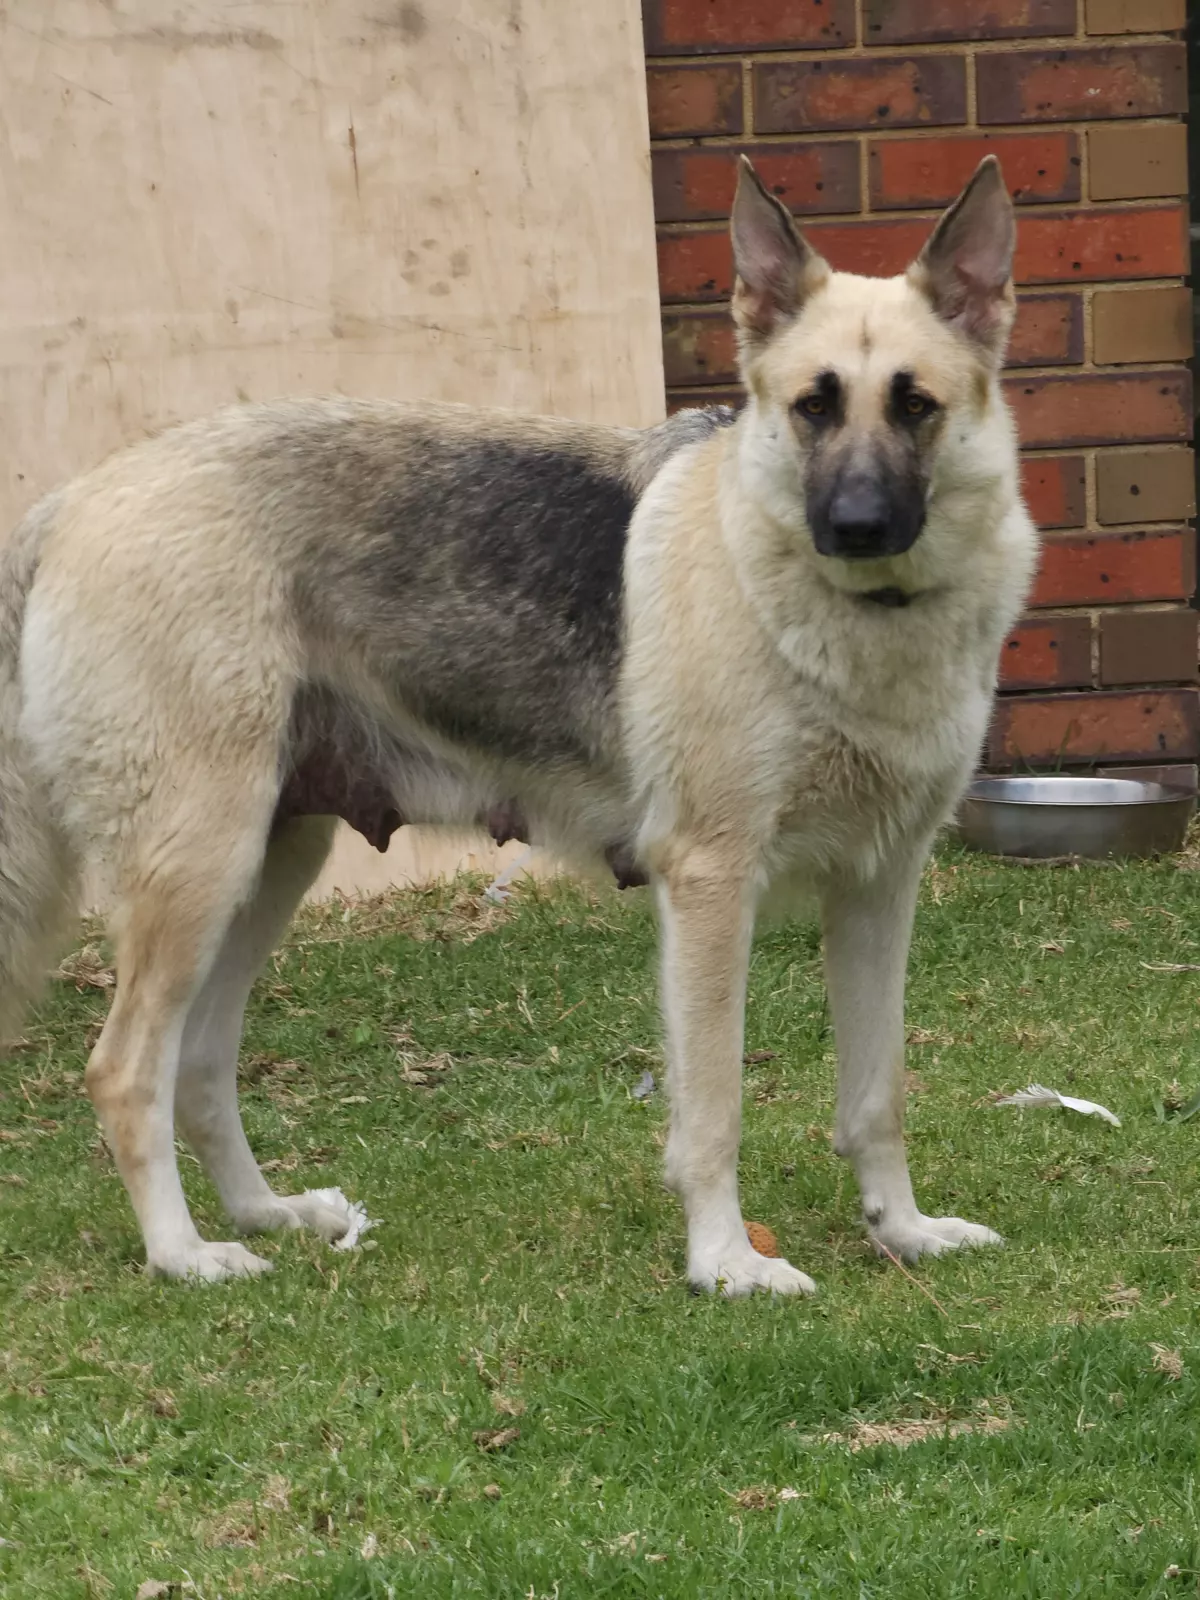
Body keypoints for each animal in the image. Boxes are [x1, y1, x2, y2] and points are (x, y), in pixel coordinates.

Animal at [0, 156, 1036, 1290]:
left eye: (916, 406)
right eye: (814, 407)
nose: (853, 527)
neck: (852, 619)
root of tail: (69, 502)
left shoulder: (880, 889)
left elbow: (877, 1092)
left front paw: (901, 1231)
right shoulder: (713, 883)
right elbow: (713, 1106)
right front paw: (725, 1263)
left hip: (263, 870)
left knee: (196, 1062)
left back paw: (265, 1214)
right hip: (200, 871)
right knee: (124, 1068)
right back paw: (184, 1252)